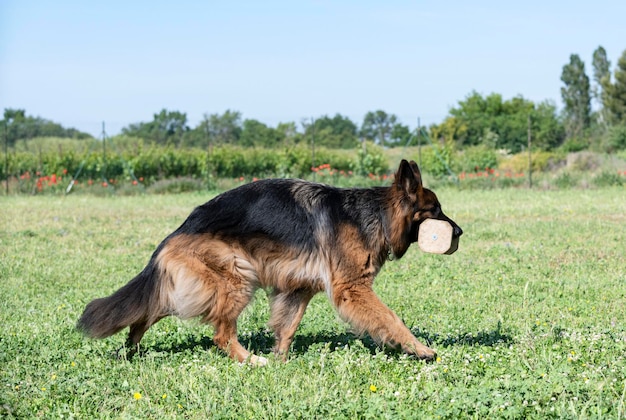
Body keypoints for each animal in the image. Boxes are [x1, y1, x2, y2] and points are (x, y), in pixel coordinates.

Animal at [77, 161, 458, 364]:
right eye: (436, 210)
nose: (460, 231)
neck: (375, 214)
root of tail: (179, 229)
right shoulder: (352, 289)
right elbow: (391, 319)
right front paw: (421, 349)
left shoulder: (298, 289)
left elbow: (287, 327)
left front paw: (281, 360)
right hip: (236, 277)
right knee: (220, 333)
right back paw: (249, 360)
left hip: (194, 286)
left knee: (149, 309)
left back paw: (131, 349)